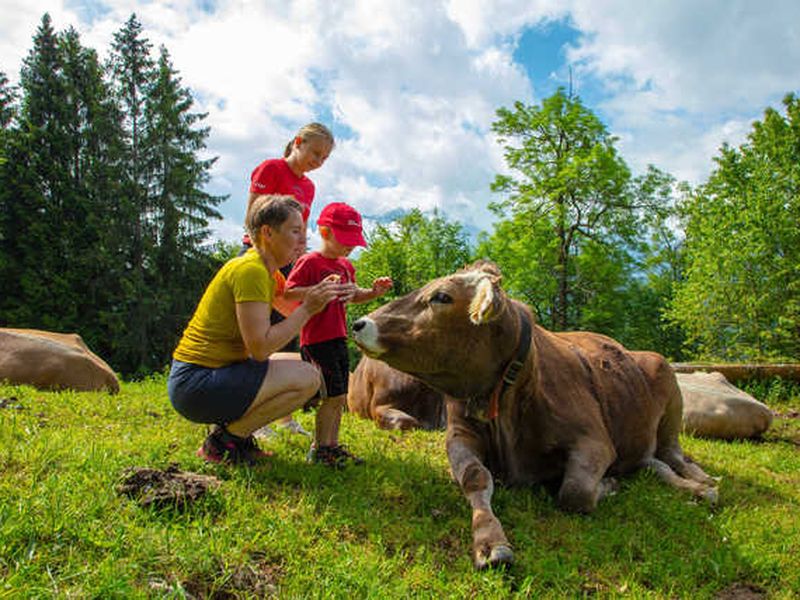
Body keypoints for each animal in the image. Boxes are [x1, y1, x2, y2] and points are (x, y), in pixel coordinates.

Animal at [354, 262, 716, 568]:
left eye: (441, 296)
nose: (360, 323)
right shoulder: (459, 434)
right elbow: (475, 477)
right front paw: (490, 541)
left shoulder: (594, 441)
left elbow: (575, 493)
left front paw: (608, 484)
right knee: (650, 462)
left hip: (668, 390)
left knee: (674, 454)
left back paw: (703, 485)